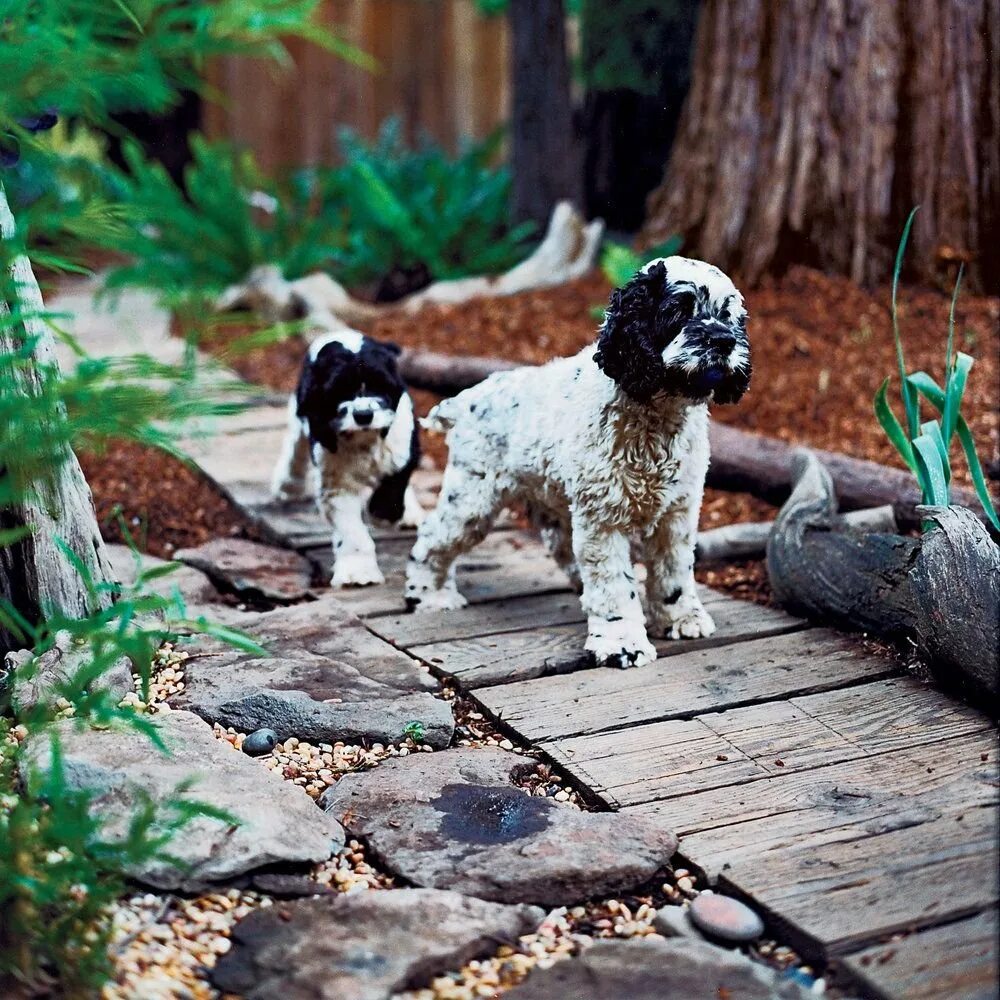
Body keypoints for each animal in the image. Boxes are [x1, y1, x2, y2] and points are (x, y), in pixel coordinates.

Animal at [270, 328, 422, 584]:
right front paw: (358, 572)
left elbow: (397, 476)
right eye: (338, 391)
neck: (364, 439)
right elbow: (350, 527)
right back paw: (289, 483)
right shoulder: (335, 480)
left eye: (380, 385)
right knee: (295, 443)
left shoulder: (403, 440)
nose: (363, 414)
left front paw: (383, 513)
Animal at [404, 254, 752, 668]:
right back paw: (429, 594)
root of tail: (466, 400)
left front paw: (681, 618)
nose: (725, 341)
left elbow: (674, 571)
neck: (655, 418)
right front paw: (622, 643)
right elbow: (615, 586)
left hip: (552, 501)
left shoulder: (677, 514)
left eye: (728, 316)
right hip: (473, 500)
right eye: (678, 311)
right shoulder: (604, 518)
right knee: (432, 537)